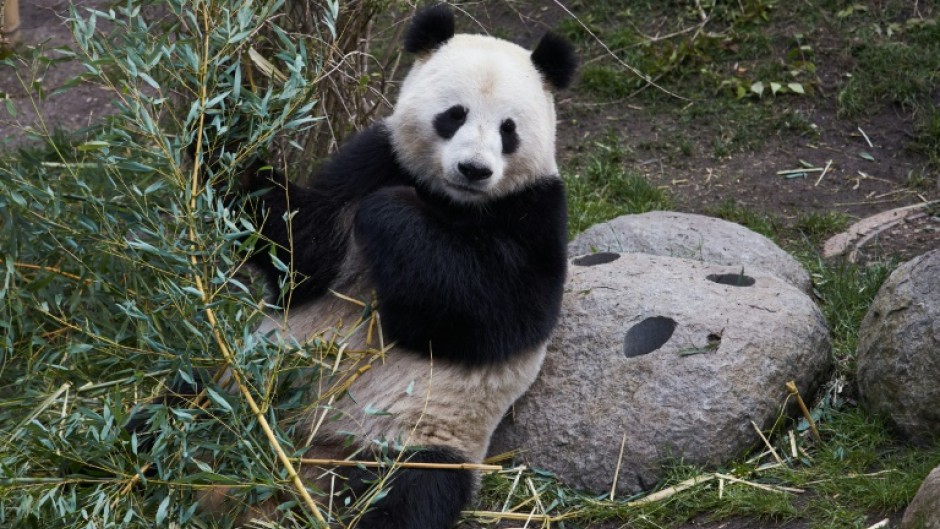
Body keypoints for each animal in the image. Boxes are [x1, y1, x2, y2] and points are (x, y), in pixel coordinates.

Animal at [157, 5, 575, 529]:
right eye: (453, 115)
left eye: (508, 129)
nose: (474, 170)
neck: (453, 201)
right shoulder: (374, 157)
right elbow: (301, 252)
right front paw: (218, 115)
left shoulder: (536, 210)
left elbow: (502, 314)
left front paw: (391, 211)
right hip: (229, 382)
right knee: (168, 414)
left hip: (413, 440)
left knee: (410, 497)